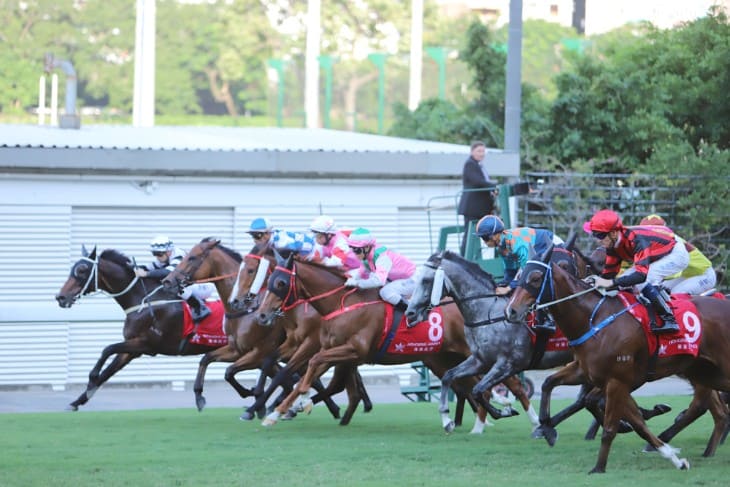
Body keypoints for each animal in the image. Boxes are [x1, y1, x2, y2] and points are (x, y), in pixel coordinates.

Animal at [55, 246, 225, 410]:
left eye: (82, 270)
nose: (60, 297)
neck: (142, 300)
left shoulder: (146, 344)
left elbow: (107, 349)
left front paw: (92, 378)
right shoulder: (132, 349)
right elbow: (107, 372)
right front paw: (77, 401)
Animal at [504, 248, 728, 472]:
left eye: (535, 278)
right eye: (520, 275)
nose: (511, 310)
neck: (594, 320)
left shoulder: (617, 381)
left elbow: (612, 426)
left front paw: (598, 468)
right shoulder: (589, 372)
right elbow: (550, 384)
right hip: (705, 372)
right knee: (715, 409)